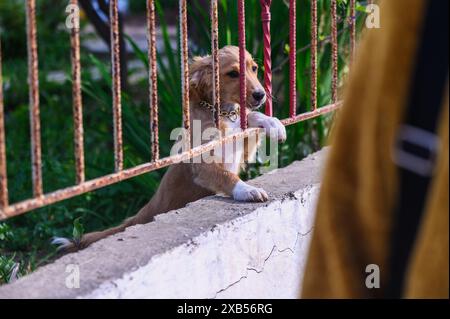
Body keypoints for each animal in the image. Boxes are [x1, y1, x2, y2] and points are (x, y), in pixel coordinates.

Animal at [52, 46, 284, 254]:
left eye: (254, 68)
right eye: (233, 74)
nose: (261, 95)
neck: (222, 114)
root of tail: (137, 217)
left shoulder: (241, 151)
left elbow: (251, 118)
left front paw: (272, 122)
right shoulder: (202, 166)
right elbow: (227, 176)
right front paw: (247, 190)